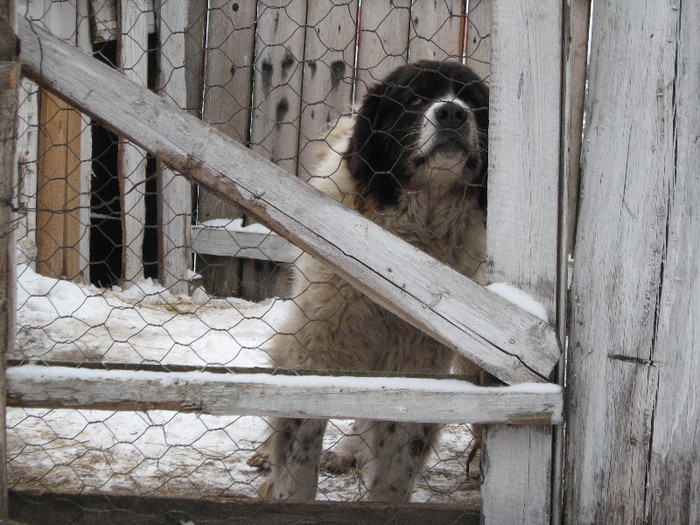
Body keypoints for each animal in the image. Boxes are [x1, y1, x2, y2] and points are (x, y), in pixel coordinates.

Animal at [254, 59, 490, 502]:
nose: (452, 113)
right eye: (415, 98)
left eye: (474, 101)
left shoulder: (417, 365)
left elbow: (395, 467)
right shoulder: (316, 347)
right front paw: (288, 496)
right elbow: (298, 455)